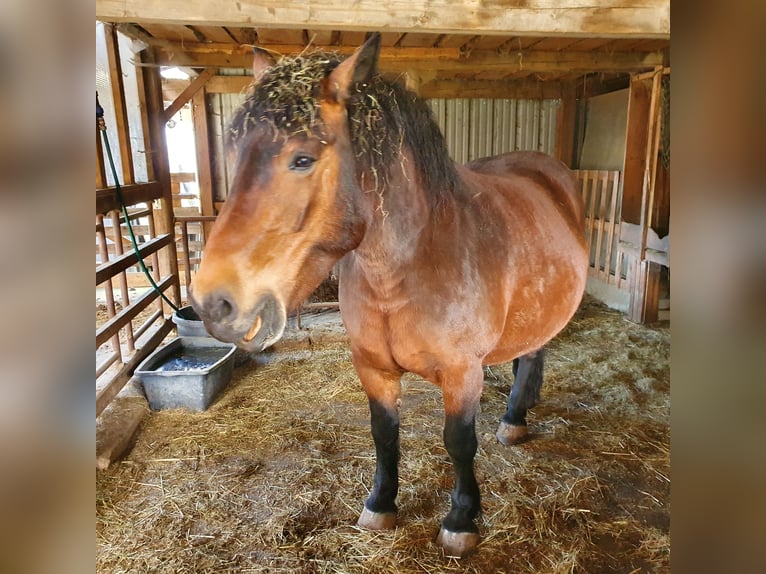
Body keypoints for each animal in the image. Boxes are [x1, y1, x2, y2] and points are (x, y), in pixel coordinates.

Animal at [192, 33, 588, 560]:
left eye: (302, 158)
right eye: (235, 153)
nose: (213, 304)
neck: (403, 271)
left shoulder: (462, 374)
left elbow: (459, 442)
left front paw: (461, 520)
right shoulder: (373, 367)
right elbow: (384, 434)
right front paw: (380, 505)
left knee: (534, 356)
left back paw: (514, 420)